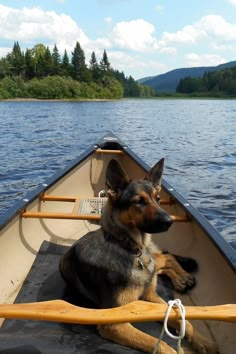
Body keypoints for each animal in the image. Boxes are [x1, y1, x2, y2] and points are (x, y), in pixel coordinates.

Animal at [60, 159, 218, 352]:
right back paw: (181, 279)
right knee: (164, 262)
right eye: (139, 201)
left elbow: (183, 320)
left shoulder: (151, 298)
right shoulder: (112, 323)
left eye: (158, 199)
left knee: (166, 259)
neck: (130, 249)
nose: (170, 221)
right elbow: (160, 343)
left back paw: (183, 277)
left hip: (154, 263)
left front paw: (202, 340)